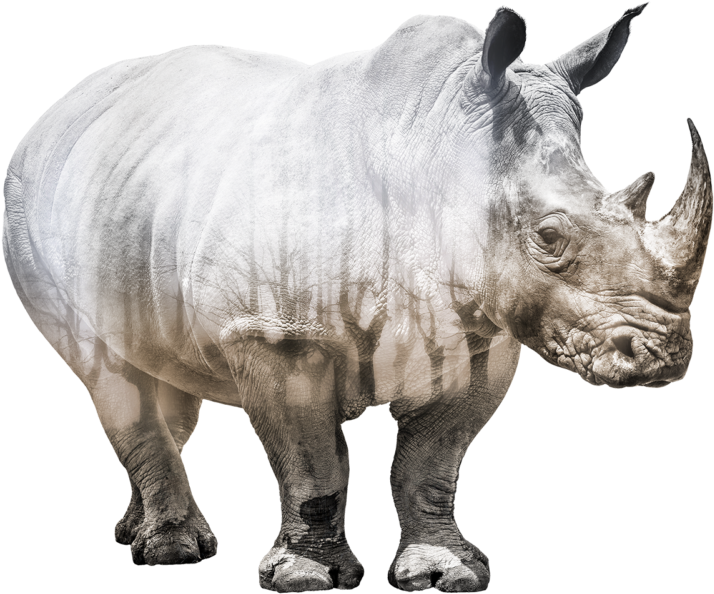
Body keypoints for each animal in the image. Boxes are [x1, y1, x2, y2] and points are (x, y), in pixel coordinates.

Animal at [3, 1, 711, 591]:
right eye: (549, 238)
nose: (661, 359)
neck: (435, 146)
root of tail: (62, 106)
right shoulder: (278, 332)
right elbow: (312, 462)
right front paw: (307, 579)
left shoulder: (481, 337)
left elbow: (431, 464)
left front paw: (446, 573)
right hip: (28, 203)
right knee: (110, 373)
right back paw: (173, 552)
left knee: (161, 381)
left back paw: (136, 532)